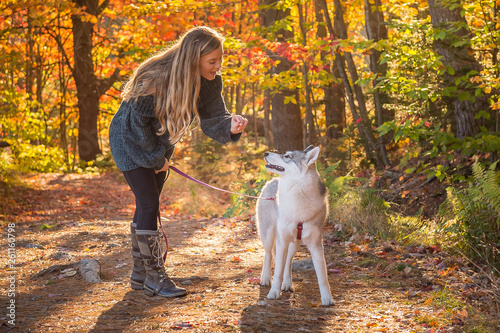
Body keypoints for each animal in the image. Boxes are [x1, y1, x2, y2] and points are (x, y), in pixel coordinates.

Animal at [256, 146, 334, 306]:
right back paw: (265, 278)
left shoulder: (316, 245)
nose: (266, 153)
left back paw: (287, 283)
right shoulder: (282, 241)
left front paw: (327, 298)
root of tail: (273, 180)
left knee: (288, 262)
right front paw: (273, 292)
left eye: (287, 156)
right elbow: (277, 272)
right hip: (269, 235)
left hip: (294, 243)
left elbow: (322, 276)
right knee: (268, 254)